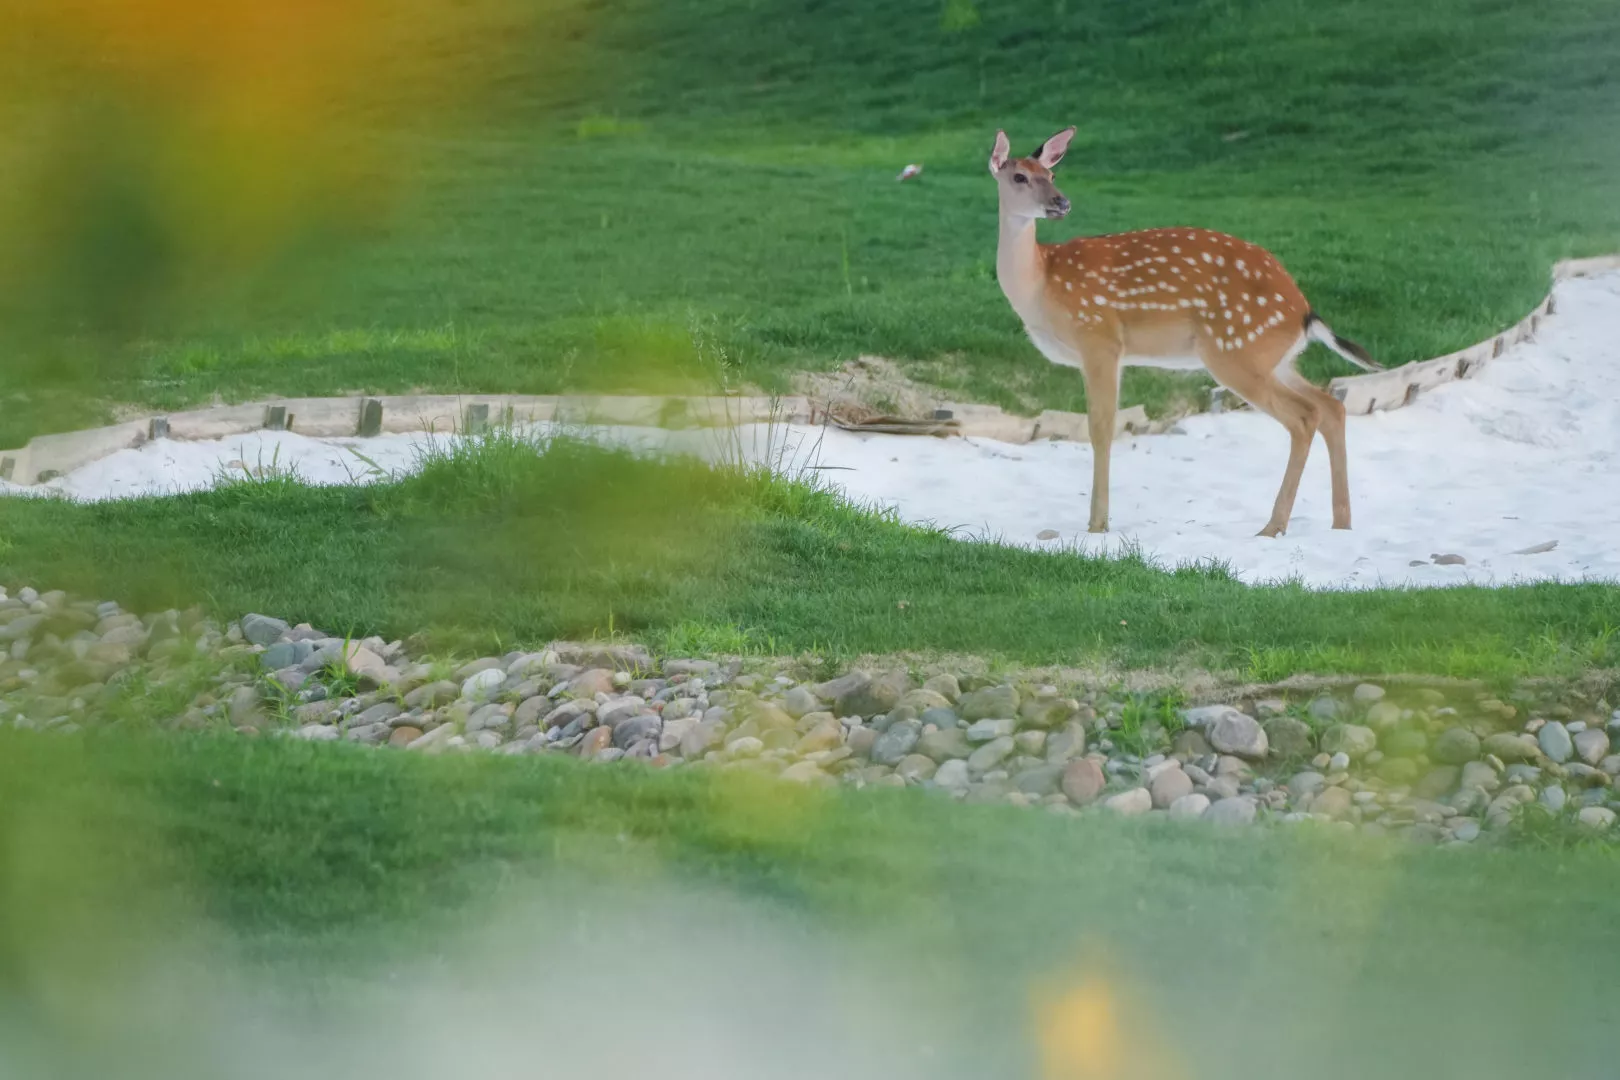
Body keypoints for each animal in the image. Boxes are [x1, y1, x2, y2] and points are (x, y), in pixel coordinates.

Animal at [990, 126, 1382, 537]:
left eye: (1051, 175)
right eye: (1020, 176)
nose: (1061, 202)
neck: (1040, 285)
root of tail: (1303, 309)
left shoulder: (1100, 337)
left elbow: (1101, 428)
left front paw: (1097, 525)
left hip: (1235, 350)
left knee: (1305, 417)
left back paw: (1273, 526)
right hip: (1275, 358)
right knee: (1332, 406)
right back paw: (1341, 524)